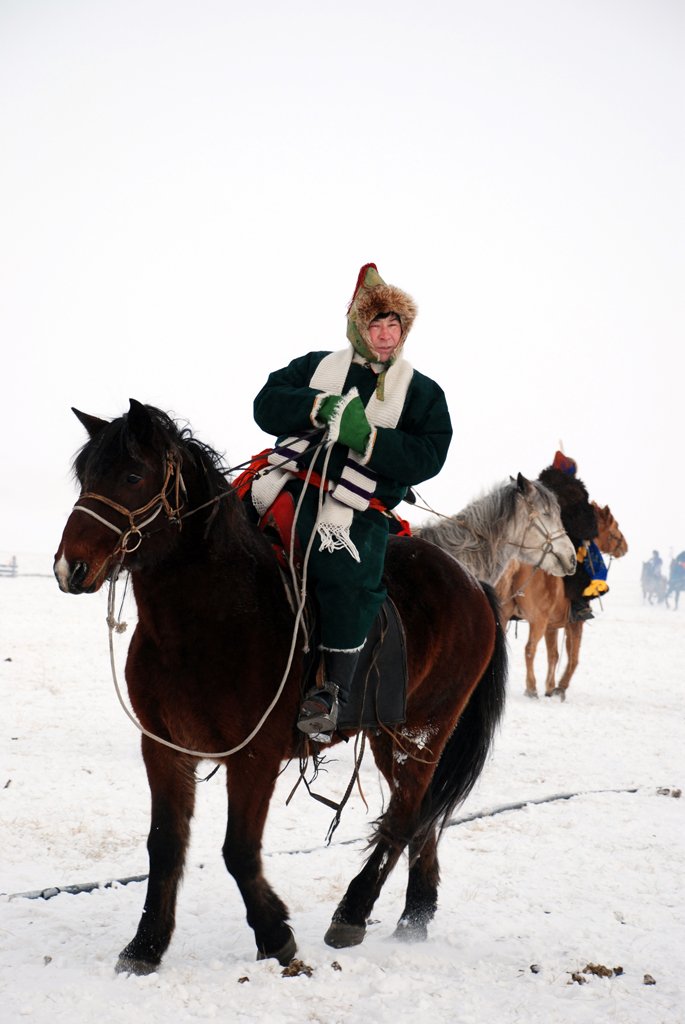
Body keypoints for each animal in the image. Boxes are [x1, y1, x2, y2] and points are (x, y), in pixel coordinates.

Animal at [54, 399, 507, 974]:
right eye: (85, 476)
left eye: (133, 476)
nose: (70, 568)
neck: (208, 618)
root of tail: (473, 583)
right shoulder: (164, 748)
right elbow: (165, 845)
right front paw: (146, 945)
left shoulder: (256, 755)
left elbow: (238, 850)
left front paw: (274, 936)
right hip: (391, 735)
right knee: (420, 819)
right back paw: (414, 918)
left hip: (424, 730)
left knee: (405, 817)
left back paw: (354, 912)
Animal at [493, 501, 626, 700]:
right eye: (614, 526)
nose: (625, 546)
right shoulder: (573, 623)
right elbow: (573, 657)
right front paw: (560, 687)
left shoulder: (552, 626)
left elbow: (554, 655)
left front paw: (550, 686)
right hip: (537, 622)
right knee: (530, 649)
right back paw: (531, 688)